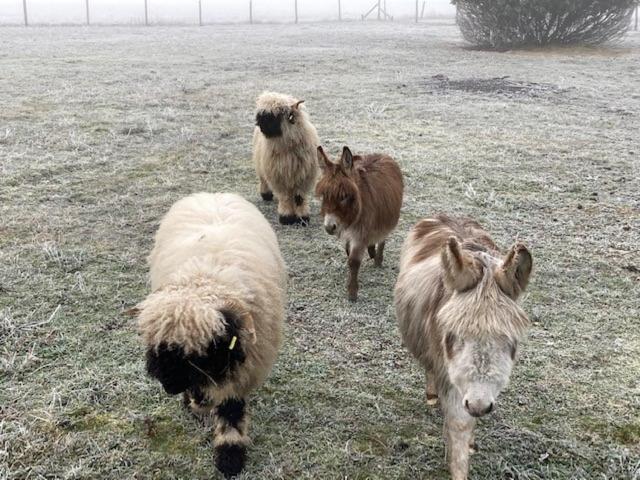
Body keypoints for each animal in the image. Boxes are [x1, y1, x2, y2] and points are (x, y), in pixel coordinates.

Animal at [137, 193, 284, 478]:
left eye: (198, 354)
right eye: (159, 349)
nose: (170, 387)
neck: (209, 277)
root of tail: (213, 194)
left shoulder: (240, 369)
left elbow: (231, 409)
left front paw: (230, 456)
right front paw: (195, 403)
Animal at [251, 92, 318, 227]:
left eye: (277, 114)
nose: (259, 123)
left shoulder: (303, 177)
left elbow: (299, 198)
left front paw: (303, 218)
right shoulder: (279, 177)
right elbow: (285, 198)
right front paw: (286, 218)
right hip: (261, 164)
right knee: (263, 180)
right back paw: (266, 194)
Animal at [392, 217, 532, 480]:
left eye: (509, 341)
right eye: (453, 335)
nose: (479, 404)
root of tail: (445, 217)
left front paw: (469, 444)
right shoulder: (450, 374)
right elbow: (459, 424)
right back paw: (431, 396)